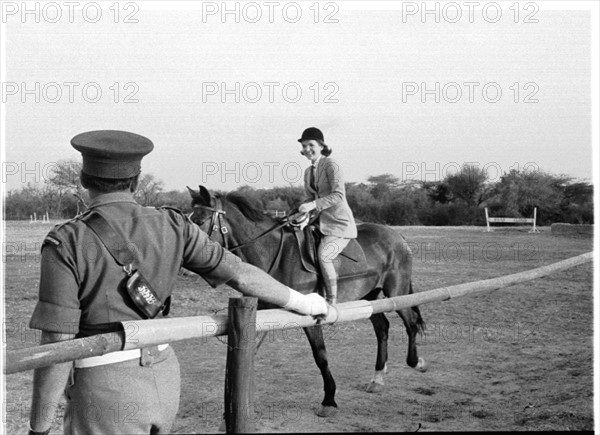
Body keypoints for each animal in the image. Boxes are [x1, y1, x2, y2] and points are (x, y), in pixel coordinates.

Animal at [188, 186, 426, 418]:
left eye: (199, 221)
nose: (187, 261)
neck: (275, 253)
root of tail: (396, 235)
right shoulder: (263, 315)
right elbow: (249, 352)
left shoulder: (310, 319)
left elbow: (320, 356)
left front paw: (329, 400)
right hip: (369, 297)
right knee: (382, 328)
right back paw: (378, 377)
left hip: (397, 292)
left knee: (411, 321)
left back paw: (416, 362)